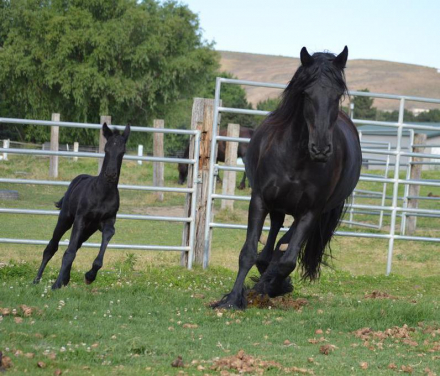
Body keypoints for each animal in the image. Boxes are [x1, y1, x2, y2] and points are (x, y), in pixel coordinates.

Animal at [33, 122, 130, 290]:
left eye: (122, 151)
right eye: (106, 149)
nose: (110, 174)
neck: (102, 192)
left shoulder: (107, 222)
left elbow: (103, 242)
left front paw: (89, 276)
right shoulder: (80, 219)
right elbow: (69, 252)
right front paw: (56, 284)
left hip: (89, 229)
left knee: (76, 245)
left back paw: (65, 278)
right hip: (65, 219)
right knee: (52, 247)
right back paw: (37, 279)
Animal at [213, 46, 360, 308]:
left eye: (337, 95)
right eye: (306, 94)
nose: (321, 149)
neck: (296, 158)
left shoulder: (311, 211)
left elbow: (287, 260)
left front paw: (267, 286)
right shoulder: (260, 200)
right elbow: (249, 252)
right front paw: (232, 299)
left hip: (309, 212)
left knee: (282, 246)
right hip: (278, 206)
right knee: (273, 239)